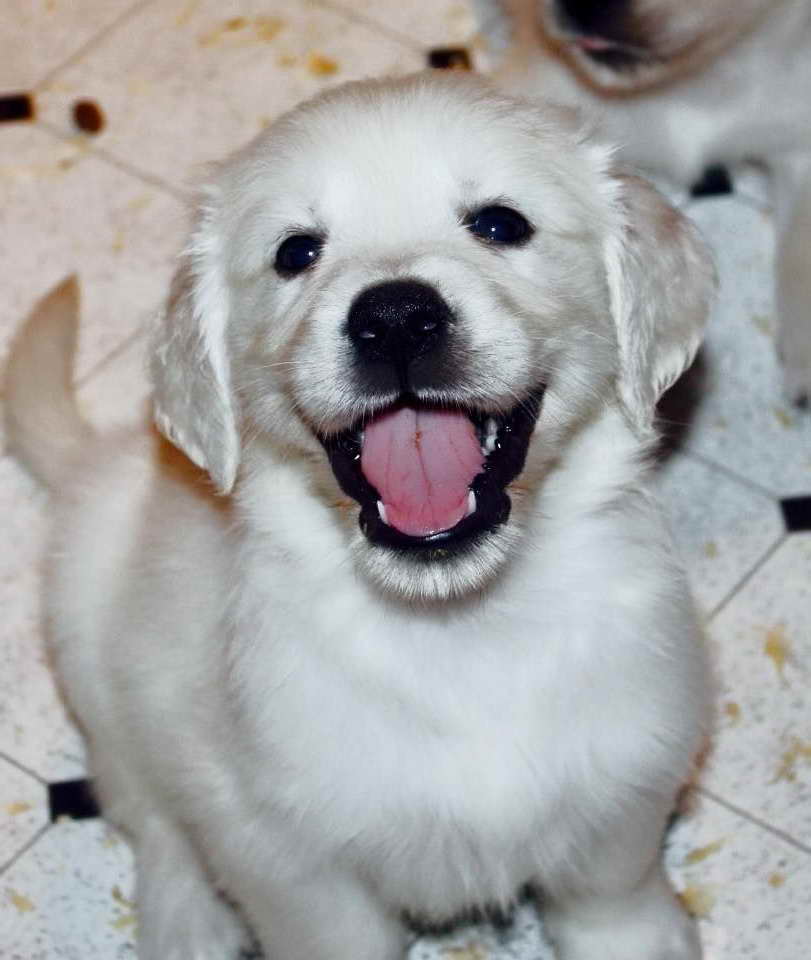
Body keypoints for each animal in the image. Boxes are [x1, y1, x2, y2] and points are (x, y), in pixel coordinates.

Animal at [7, 75, 716, 960]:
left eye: (500, 224)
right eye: (296, 252)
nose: (396, 318)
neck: (457, 629)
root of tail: (95, 461)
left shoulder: (625, 785)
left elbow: (613, 900)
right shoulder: (283, 853)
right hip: (95, 650)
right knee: (150, 814)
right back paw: (188, 922)